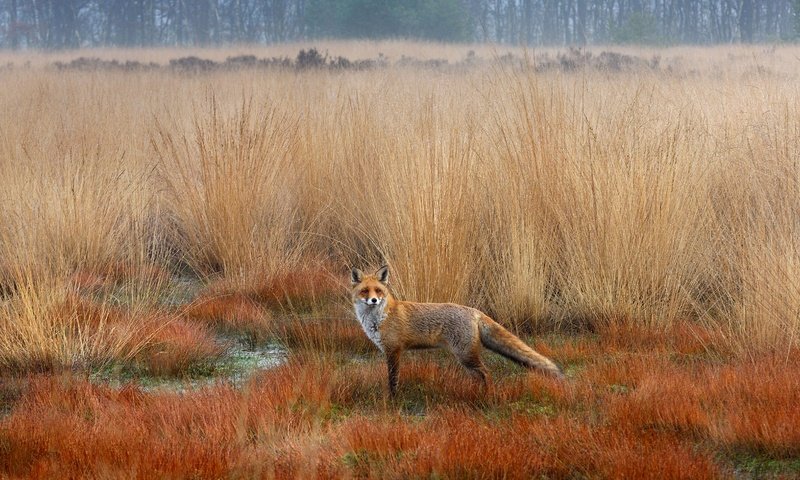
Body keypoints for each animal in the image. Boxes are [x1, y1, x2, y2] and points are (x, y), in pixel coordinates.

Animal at [350, 264, 564, 396]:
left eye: (378, 291)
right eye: (365, 291)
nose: (374, 300)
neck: (379, 318)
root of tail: (474, 310)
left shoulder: (394, 350)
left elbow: (392, 379)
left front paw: (393, 399)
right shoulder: (391, 350)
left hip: (465, 355)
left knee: (486, 373)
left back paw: (488, 395)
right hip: (466, 358)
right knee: (479, 376)